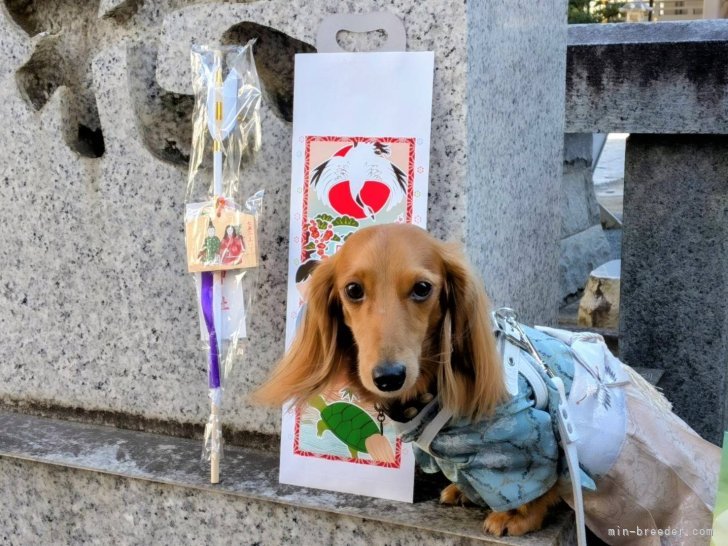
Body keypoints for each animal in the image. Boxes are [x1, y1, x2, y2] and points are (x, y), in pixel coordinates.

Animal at [254, 224, 719, 544]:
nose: (388, 377)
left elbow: (544, 485)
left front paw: (517, 516)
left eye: (422, 288)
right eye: (352, 289)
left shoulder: (538, 436)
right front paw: (465, 491)